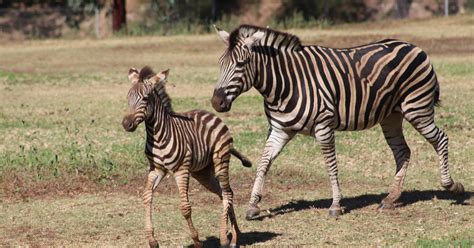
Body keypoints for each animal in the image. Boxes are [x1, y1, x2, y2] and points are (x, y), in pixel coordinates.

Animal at [211, 24, 462, 219]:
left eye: (241, 64)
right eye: (220, 64)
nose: (216, 102)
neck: (284, 84)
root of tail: (414, 46)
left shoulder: (324, 127)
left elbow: (331, 166)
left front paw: (335, 205)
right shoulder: (280, 129)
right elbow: (264, 163)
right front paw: (253, 205)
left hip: (417, 108)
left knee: (441, 139)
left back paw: (452, 185)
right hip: (391, 115)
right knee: (403, 152)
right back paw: (390, 199)